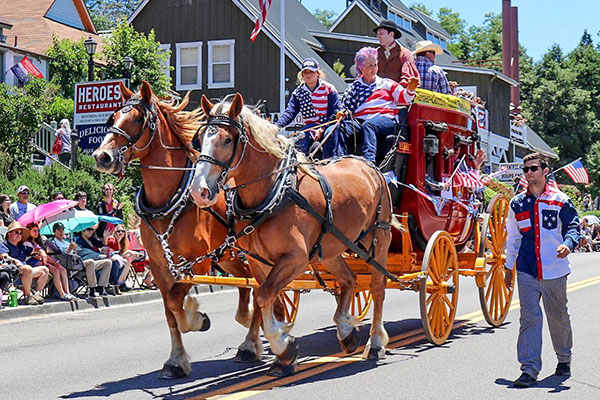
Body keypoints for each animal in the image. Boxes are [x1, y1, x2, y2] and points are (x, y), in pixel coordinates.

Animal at [92, 81, 268, 378]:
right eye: (113, 117)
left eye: (137, 119)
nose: (102, 156)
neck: (170, 199)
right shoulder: (159, 265)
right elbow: (169, 311)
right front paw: (176, 359)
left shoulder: (196, 263)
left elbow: (177, 302)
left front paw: (195, 318)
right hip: (227, 256)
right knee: (248, 284)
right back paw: (247, 322)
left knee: (257, 286)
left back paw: (249, 343)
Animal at [190, 93, 396, 376]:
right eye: (200, 139)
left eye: (228, 139)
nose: (199, 191)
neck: (275, 192)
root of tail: (369, 166)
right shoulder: (259, 261)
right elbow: (268, 298)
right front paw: (281, 353)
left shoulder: (296, 259)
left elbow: (264, 295)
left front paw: (283, 345)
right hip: (330, 248)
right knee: (349, 280)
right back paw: (346, 332)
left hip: (377, 238)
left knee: (377, 287)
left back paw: (375, 343)